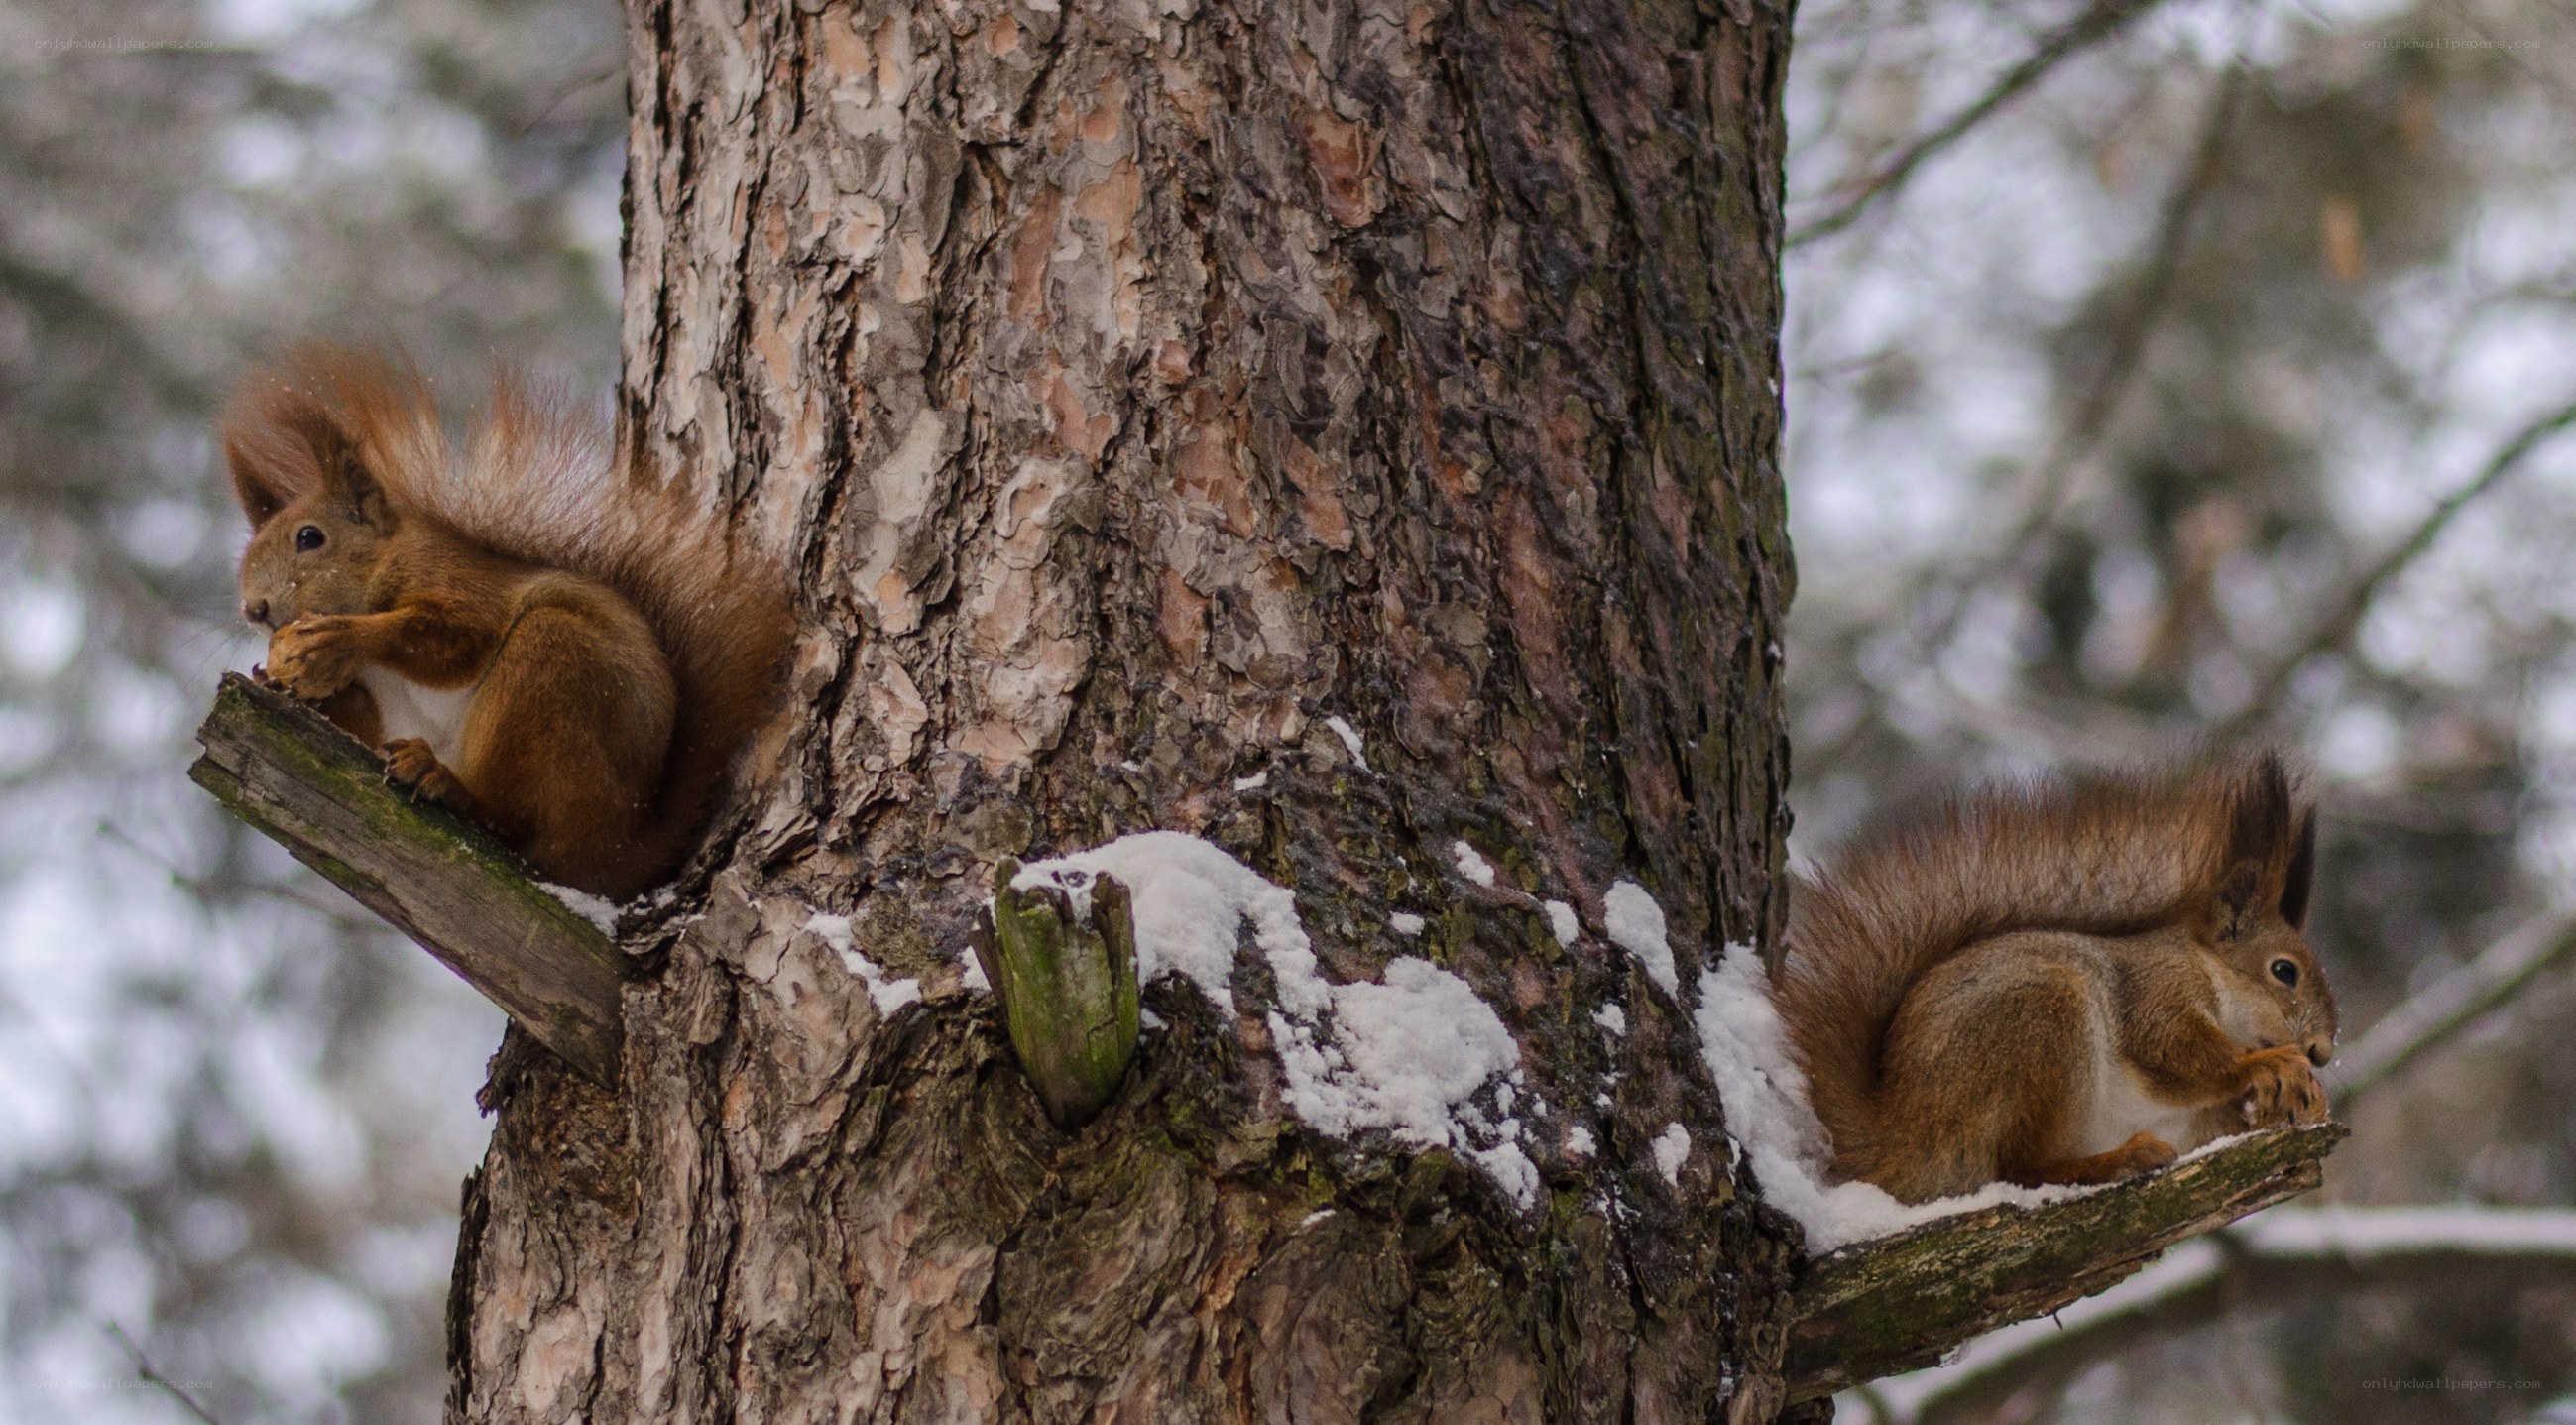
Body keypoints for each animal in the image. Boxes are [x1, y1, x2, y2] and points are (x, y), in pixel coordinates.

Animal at [222, 348, 793, 901]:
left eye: (310, 537)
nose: (255, 609)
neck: (383, 564)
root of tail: (617, 851)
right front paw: (278, 679)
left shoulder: (459, 584)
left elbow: (457, 642)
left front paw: (340, 639)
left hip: (554, 667)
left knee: (516, 823)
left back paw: (450, 787)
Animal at [1771, 752, 2338, 1205]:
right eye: (2284, 970)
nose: (2321, 1052)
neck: (2208, 971)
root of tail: (1899, 1134)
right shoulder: (2155, 991)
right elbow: (2176, 1053)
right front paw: (2269, 1063)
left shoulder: (2199, 1118)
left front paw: (2306, 1099)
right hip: (2039, 1024)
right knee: (2019, 1169)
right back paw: (2121, 1159)